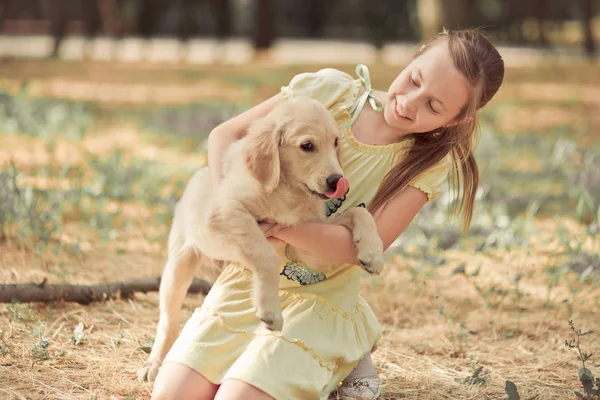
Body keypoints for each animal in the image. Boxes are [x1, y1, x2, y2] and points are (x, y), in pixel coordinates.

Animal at [137, 96, 384, 382]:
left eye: (335, 143)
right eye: (307, 146)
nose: (338, 181)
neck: (286, 190)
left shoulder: (308, 242)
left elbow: (359, 212)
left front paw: (372, 253)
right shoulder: (226, 212)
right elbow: (264, 255)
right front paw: (270, 310)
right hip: (177, 265)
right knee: (168, 318)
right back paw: (154, 364)